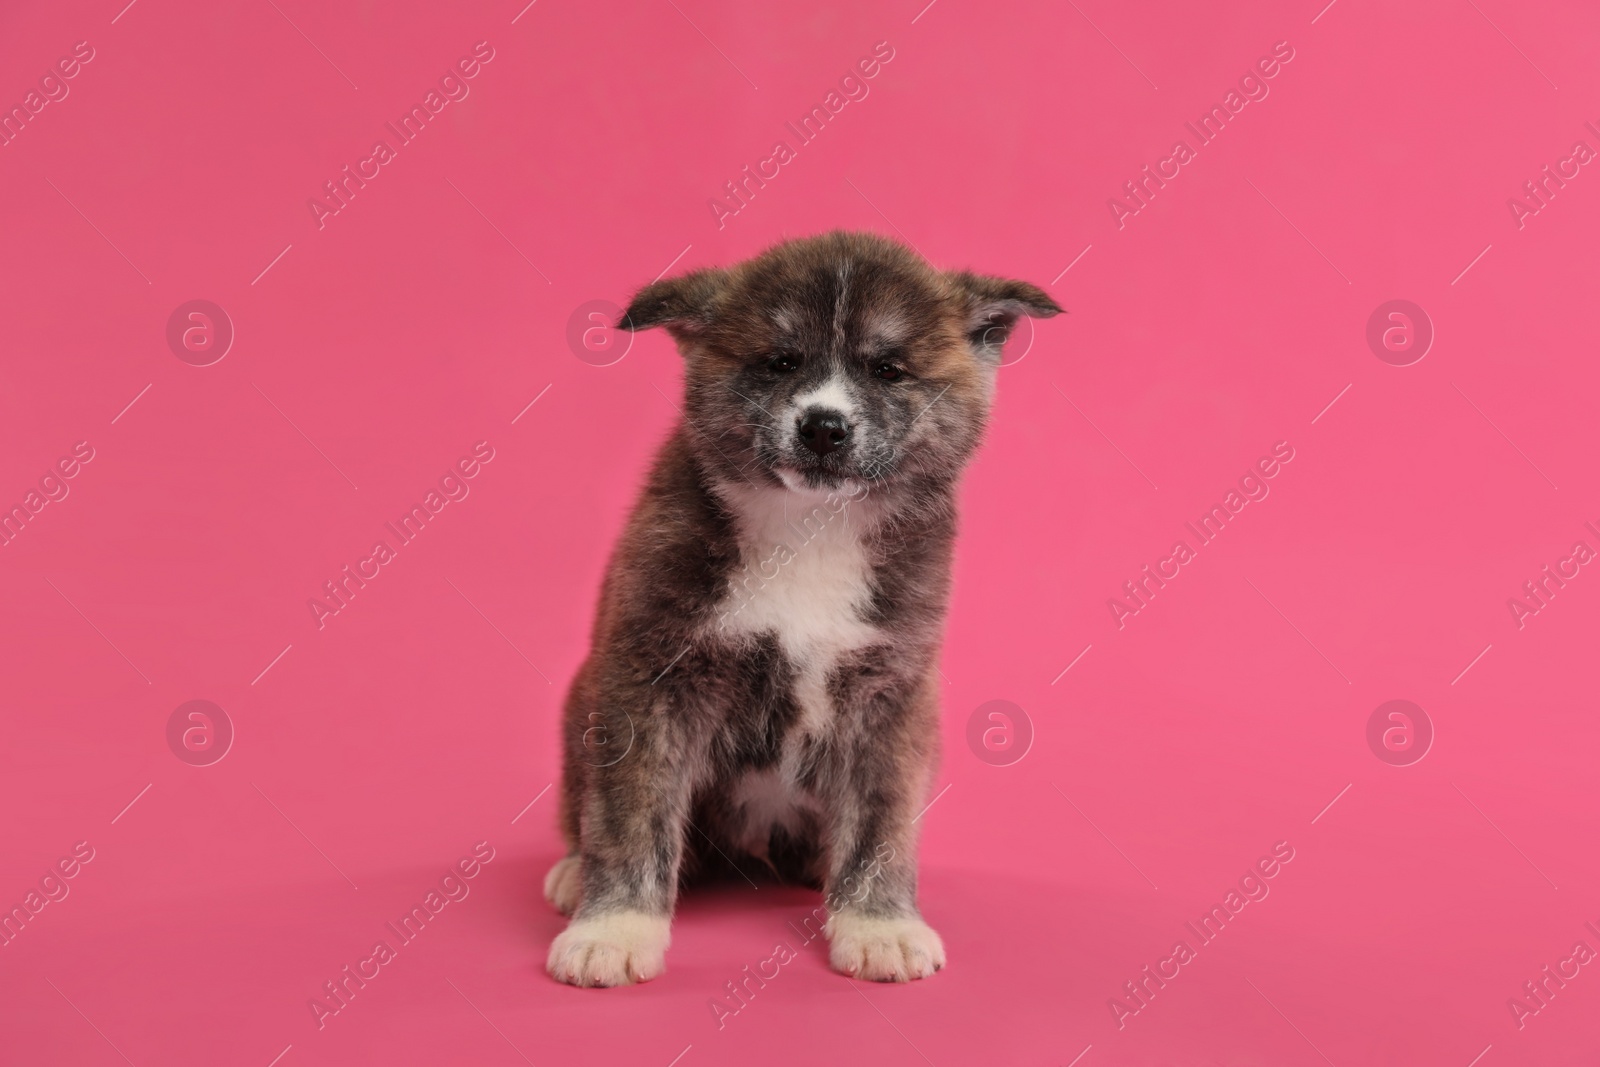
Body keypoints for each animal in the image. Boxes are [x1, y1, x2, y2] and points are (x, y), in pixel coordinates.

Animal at [544, 231, 1056, 985]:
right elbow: (629, 812)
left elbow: (880, 819)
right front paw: (613, 929)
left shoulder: (890, 690)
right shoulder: (648, 678)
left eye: (887, 369)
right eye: (781, 361)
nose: (823, 427)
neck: (810, 530)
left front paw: (878, 923)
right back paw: (573, 872)